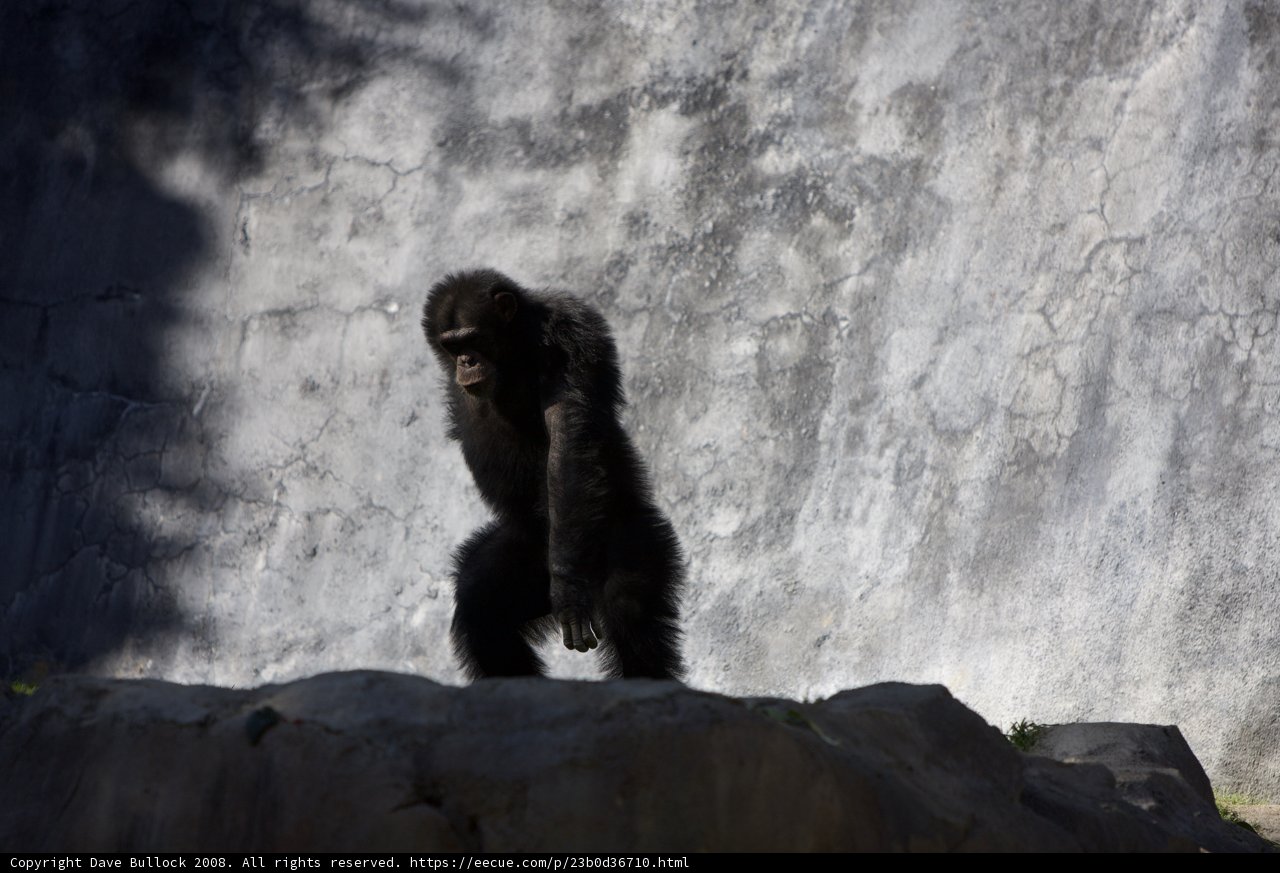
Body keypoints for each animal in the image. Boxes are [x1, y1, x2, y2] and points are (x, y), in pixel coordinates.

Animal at [421, 269, 685, 680]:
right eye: (451, 345)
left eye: (473, 338)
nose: (465, 360)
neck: (514, 347)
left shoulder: (569, 336)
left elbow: (568, 442)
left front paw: (567, 587)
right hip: (529, 557)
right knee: (481, 608)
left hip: (629, 536)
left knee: (629, 608)